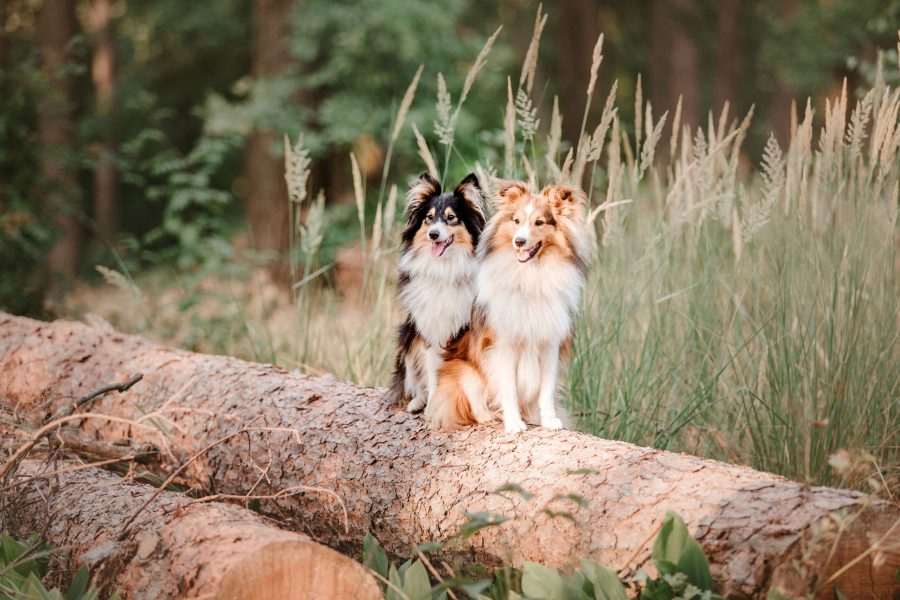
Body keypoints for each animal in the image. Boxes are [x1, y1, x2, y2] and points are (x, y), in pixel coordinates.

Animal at [386, 173, 486, 412]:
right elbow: (432, 371)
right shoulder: (430, 328)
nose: (433, 234)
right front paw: (432, 405)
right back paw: (417, 402)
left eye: (451, 217)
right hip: (408, 336)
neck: (445, 268)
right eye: (429, 218)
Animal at [428, 180, 596, 434]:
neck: (531, 275)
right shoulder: (503, 344)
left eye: (539, 222)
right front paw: (513, 422)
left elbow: (546, 389)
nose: (519, 241)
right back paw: (490, 416)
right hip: (464, 372)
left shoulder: (550, 343)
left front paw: (549, 420)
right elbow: (508, 387)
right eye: (516, 221)